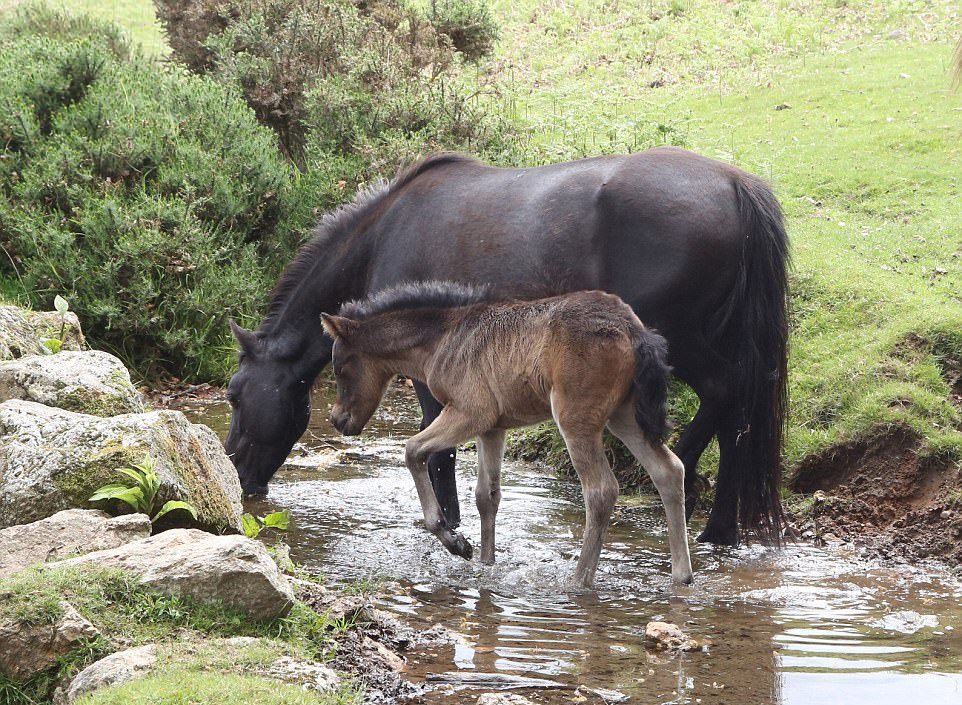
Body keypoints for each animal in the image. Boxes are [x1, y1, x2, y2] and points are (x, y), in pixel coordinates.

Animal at [320, 280, 688, 584]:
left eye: (340, 367)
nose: (338, 420)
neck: (443, 338)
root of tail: (633, 329)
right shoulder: (492, 427)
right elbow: (487, 496)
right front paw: (486, 563)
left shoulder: (469, 412)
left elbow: (412, 451)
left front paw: (456, 542)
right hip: (624, 416)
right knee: (669, 471)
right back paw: (681, 576)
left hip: (576, 418)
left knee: (601, 490)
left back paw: (579, 580)